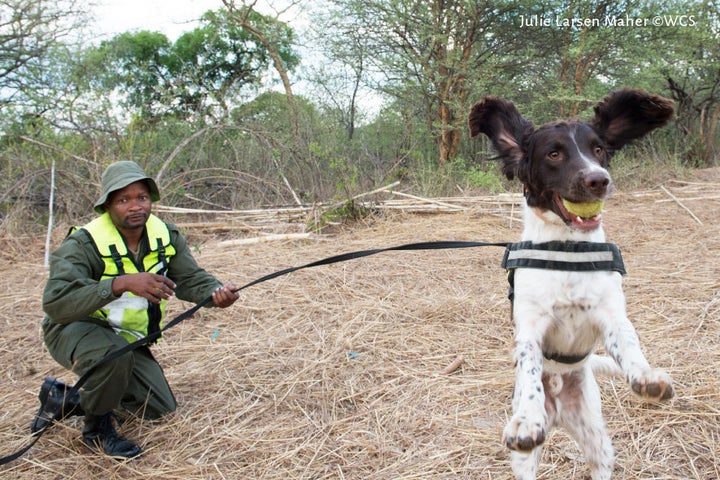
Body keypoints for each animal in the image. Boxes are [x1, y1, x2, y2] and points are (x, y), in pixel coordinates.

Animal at [470, 88, 676, 478]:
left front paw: (646, 376)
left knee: (599, 464)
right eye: (554, 154)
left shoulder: (611, 315)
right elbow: (529, 365)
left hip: (595, 434)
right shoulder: (530, 326)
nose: (599, 180)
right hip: (526, 459)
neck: (567, 250)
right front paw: (527, 418)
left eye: (599, 150)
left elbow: (630, 344)